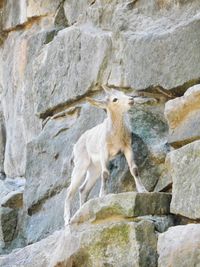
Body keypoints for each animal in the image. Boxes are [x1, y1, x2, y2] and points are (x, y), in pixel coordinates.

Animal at [64, 87, 147, 225]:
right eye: (115, 99)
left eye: (123, 93)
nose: (131, 99)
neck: (115, 135)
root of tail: (74, 148)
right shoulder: (104, 151)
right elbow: (106, 173)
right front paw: (102, 196)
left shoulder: (127, 147)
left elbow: (134, 169)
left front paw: (143, 190)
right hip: (80, 166)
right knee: (70, 190)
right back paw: (67, 220)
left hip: (94, 169)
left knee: (83, 189)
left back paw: (81, 211)